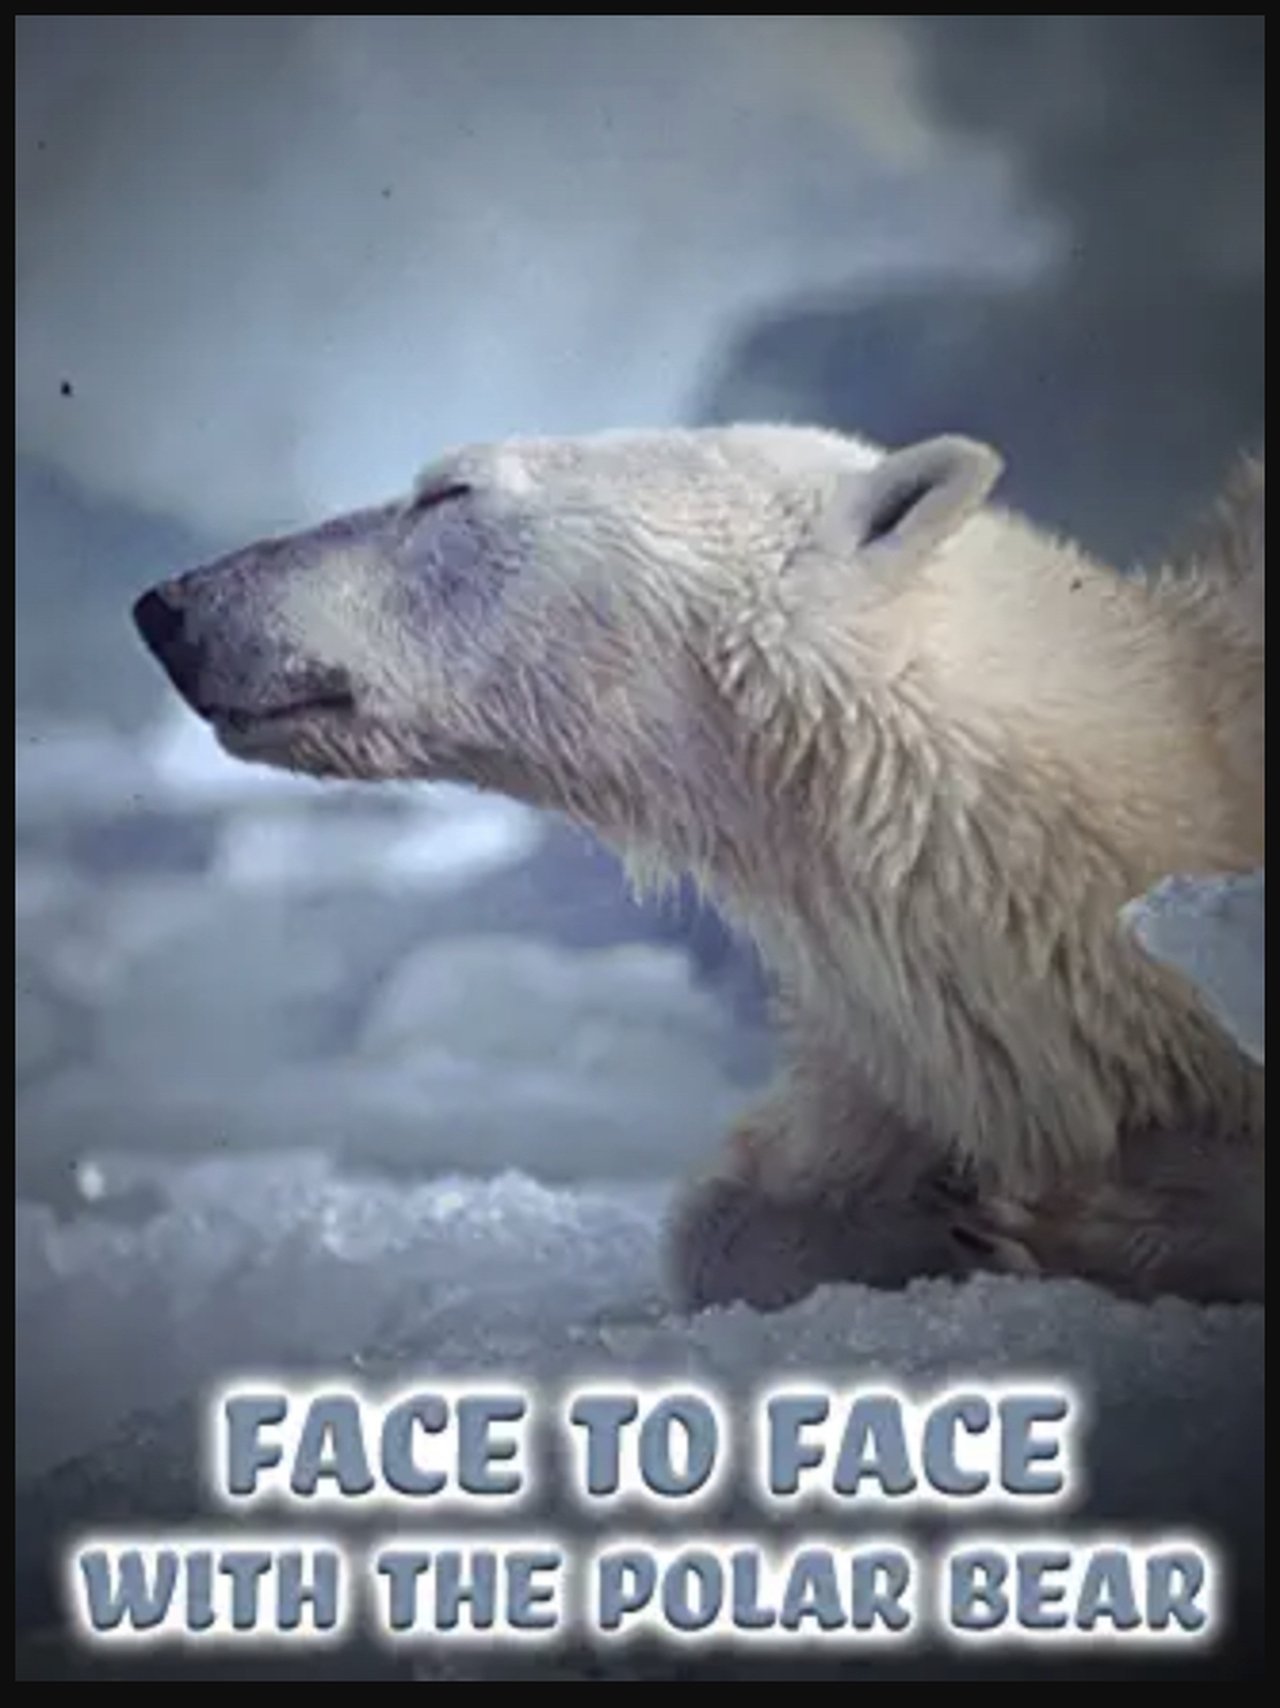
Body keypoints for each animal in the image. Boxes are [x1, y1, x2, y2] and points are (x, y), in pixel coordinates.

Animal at [131, 424, 1265, 1313]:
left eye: (448, 490)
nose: (169, 606)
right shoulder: (909, 1049)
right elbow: (721, 1222)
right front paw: (922, 1221)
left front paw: (1092, 1218)